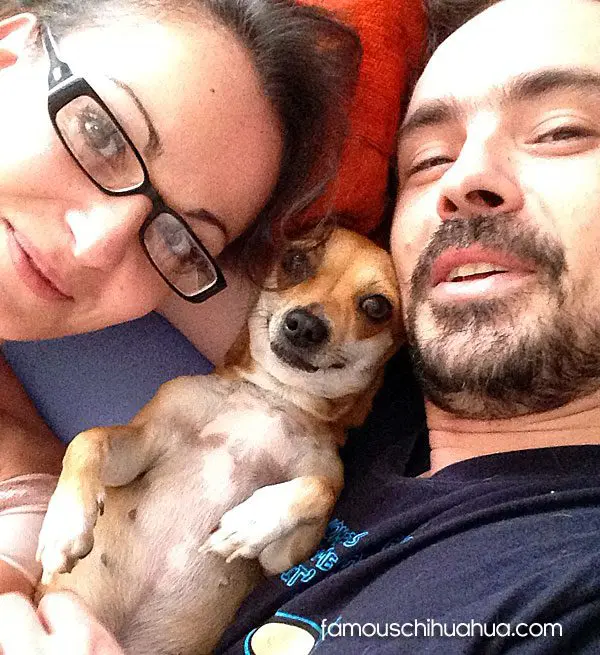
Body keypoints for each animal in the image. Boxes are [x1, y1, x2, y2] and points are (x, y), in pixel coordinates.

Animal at [36, 227, 402, 655]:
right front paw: (65, 524)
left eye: (376, 307)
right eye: (295, 260)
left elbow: (320, 489)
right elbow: (87, 438)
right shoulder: (144, 443)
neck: (274, 396)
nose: (305, 323)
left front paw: (252, 521)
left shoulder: (283, 559)